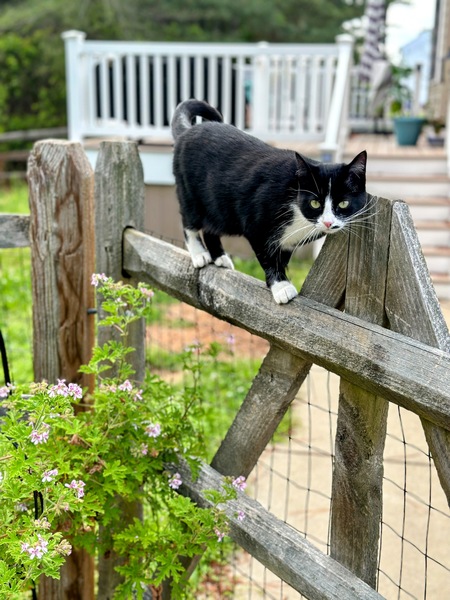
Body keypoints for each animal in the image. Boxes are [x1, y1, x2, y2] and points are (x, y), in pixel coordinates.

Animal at [171, 101, 368, 304]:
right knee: (189, 222)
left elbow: (282, 256)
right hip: (189, 192)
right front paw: (281, 286)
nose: (328, 222)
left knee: (211, 228)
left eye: (343, 203)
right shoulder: (255, 226)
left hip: (220, 210)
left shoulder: (288, 242)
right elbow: (268, 256)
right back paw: (199, 254)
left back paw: (220, 258)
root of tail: (189, 131)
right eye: (315, 203)